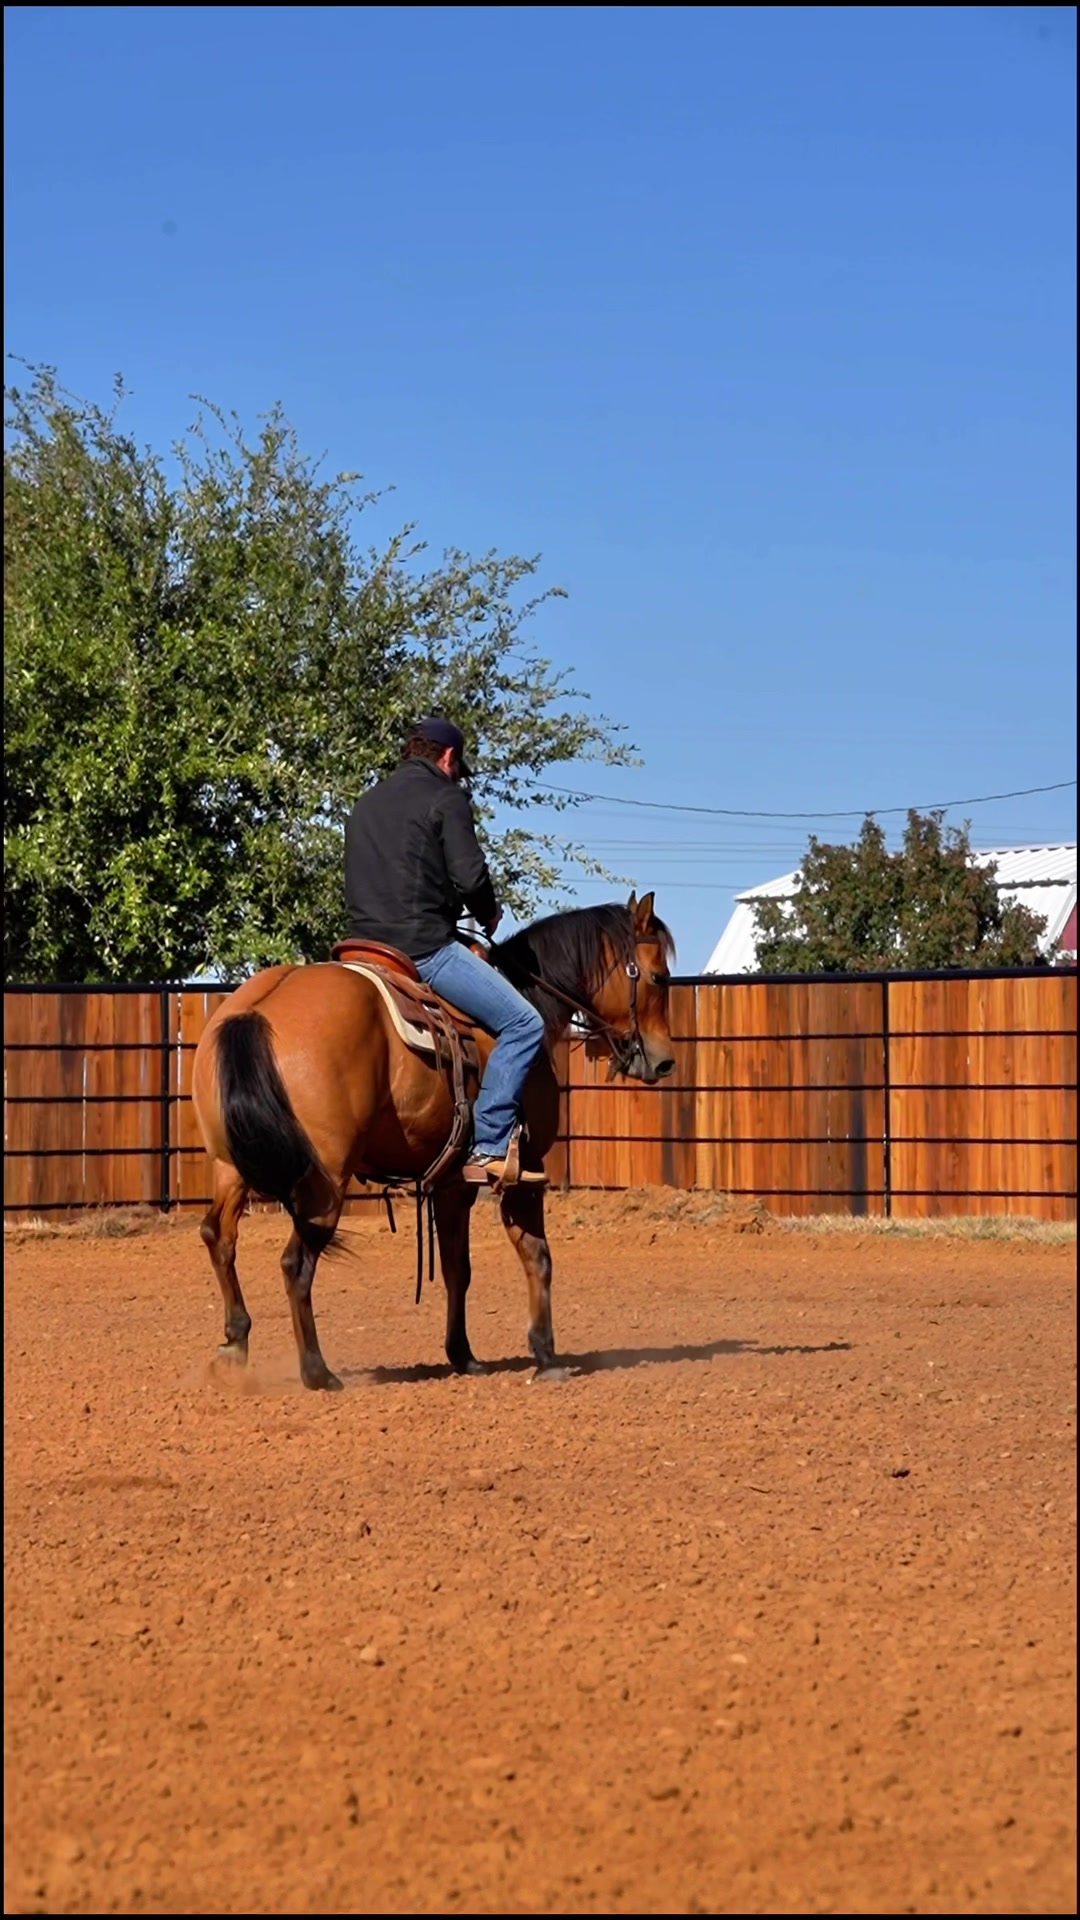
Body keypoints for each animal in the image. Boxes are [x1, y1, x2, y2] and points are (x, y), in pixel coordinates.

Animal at [190, 891, 676, 1389]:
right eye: (659, 976)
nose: (663, 1061)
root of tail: (257, 1011)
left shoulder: (451, 1183)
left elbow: (457, 1267)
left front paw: (462, 1354)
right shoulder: (523, 1171)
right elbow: (536, 1256)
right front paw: (545, 1354)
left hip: (230, 1167)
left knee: (219, 1236)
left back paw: (234, 1348)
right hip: (324, 1179)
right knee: (295, 1262)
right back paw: (317, 1371)